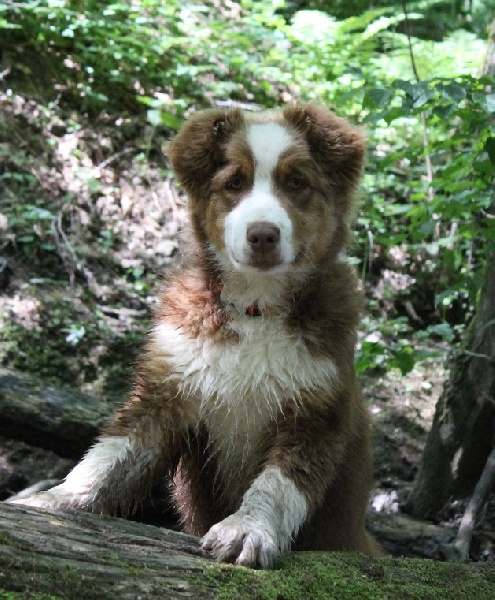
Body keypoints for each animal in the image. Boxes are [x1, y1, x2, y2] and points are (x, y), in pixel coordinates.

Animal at [12, 103, 384, 568]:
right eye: (235, 183)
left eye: (297, 182)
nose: (263, 234)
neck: (255, 310)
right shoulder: (166, 390)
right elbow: (109, 458)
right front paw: (53, 501)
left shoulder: (317, 413)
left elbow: (279, 485)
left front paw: (248, 529)